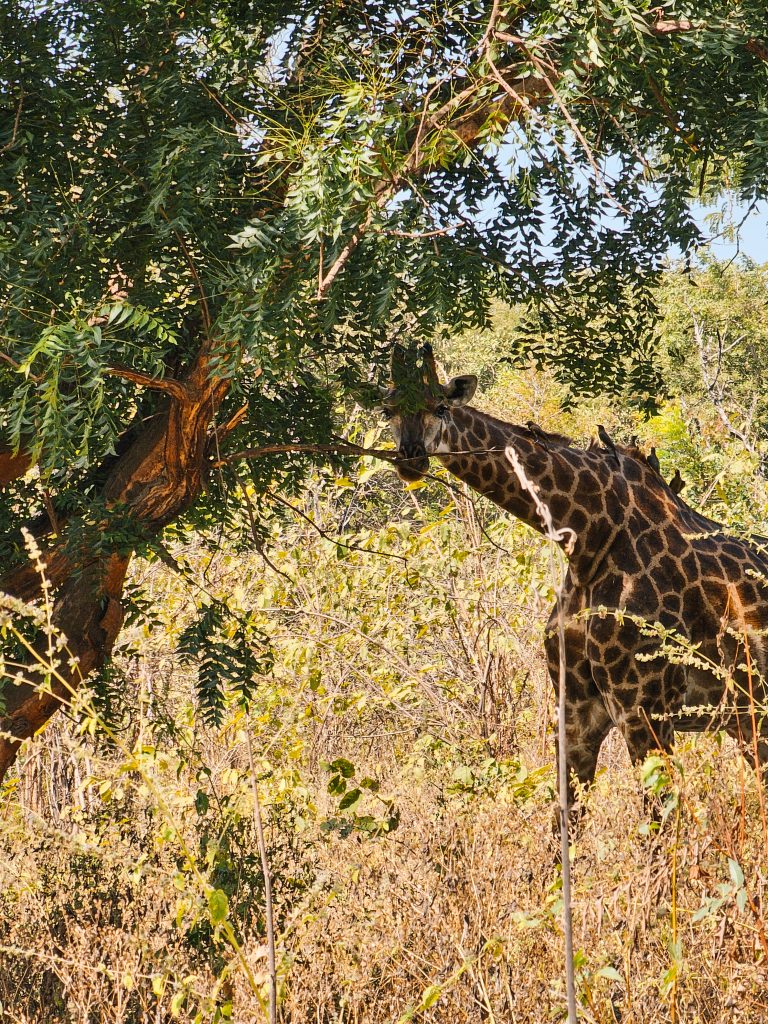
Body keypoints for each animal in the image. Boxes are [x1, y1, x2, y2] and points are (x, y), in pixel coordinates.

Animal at [385, 344, 768, 806]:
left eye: (440, 407)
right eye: (388, 409)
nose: (410, 458)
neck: (590, 542)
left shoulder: (645, 708)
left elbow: (661, 818)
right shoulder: (576, 709)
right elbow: (565, 813)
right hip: (746, 721)